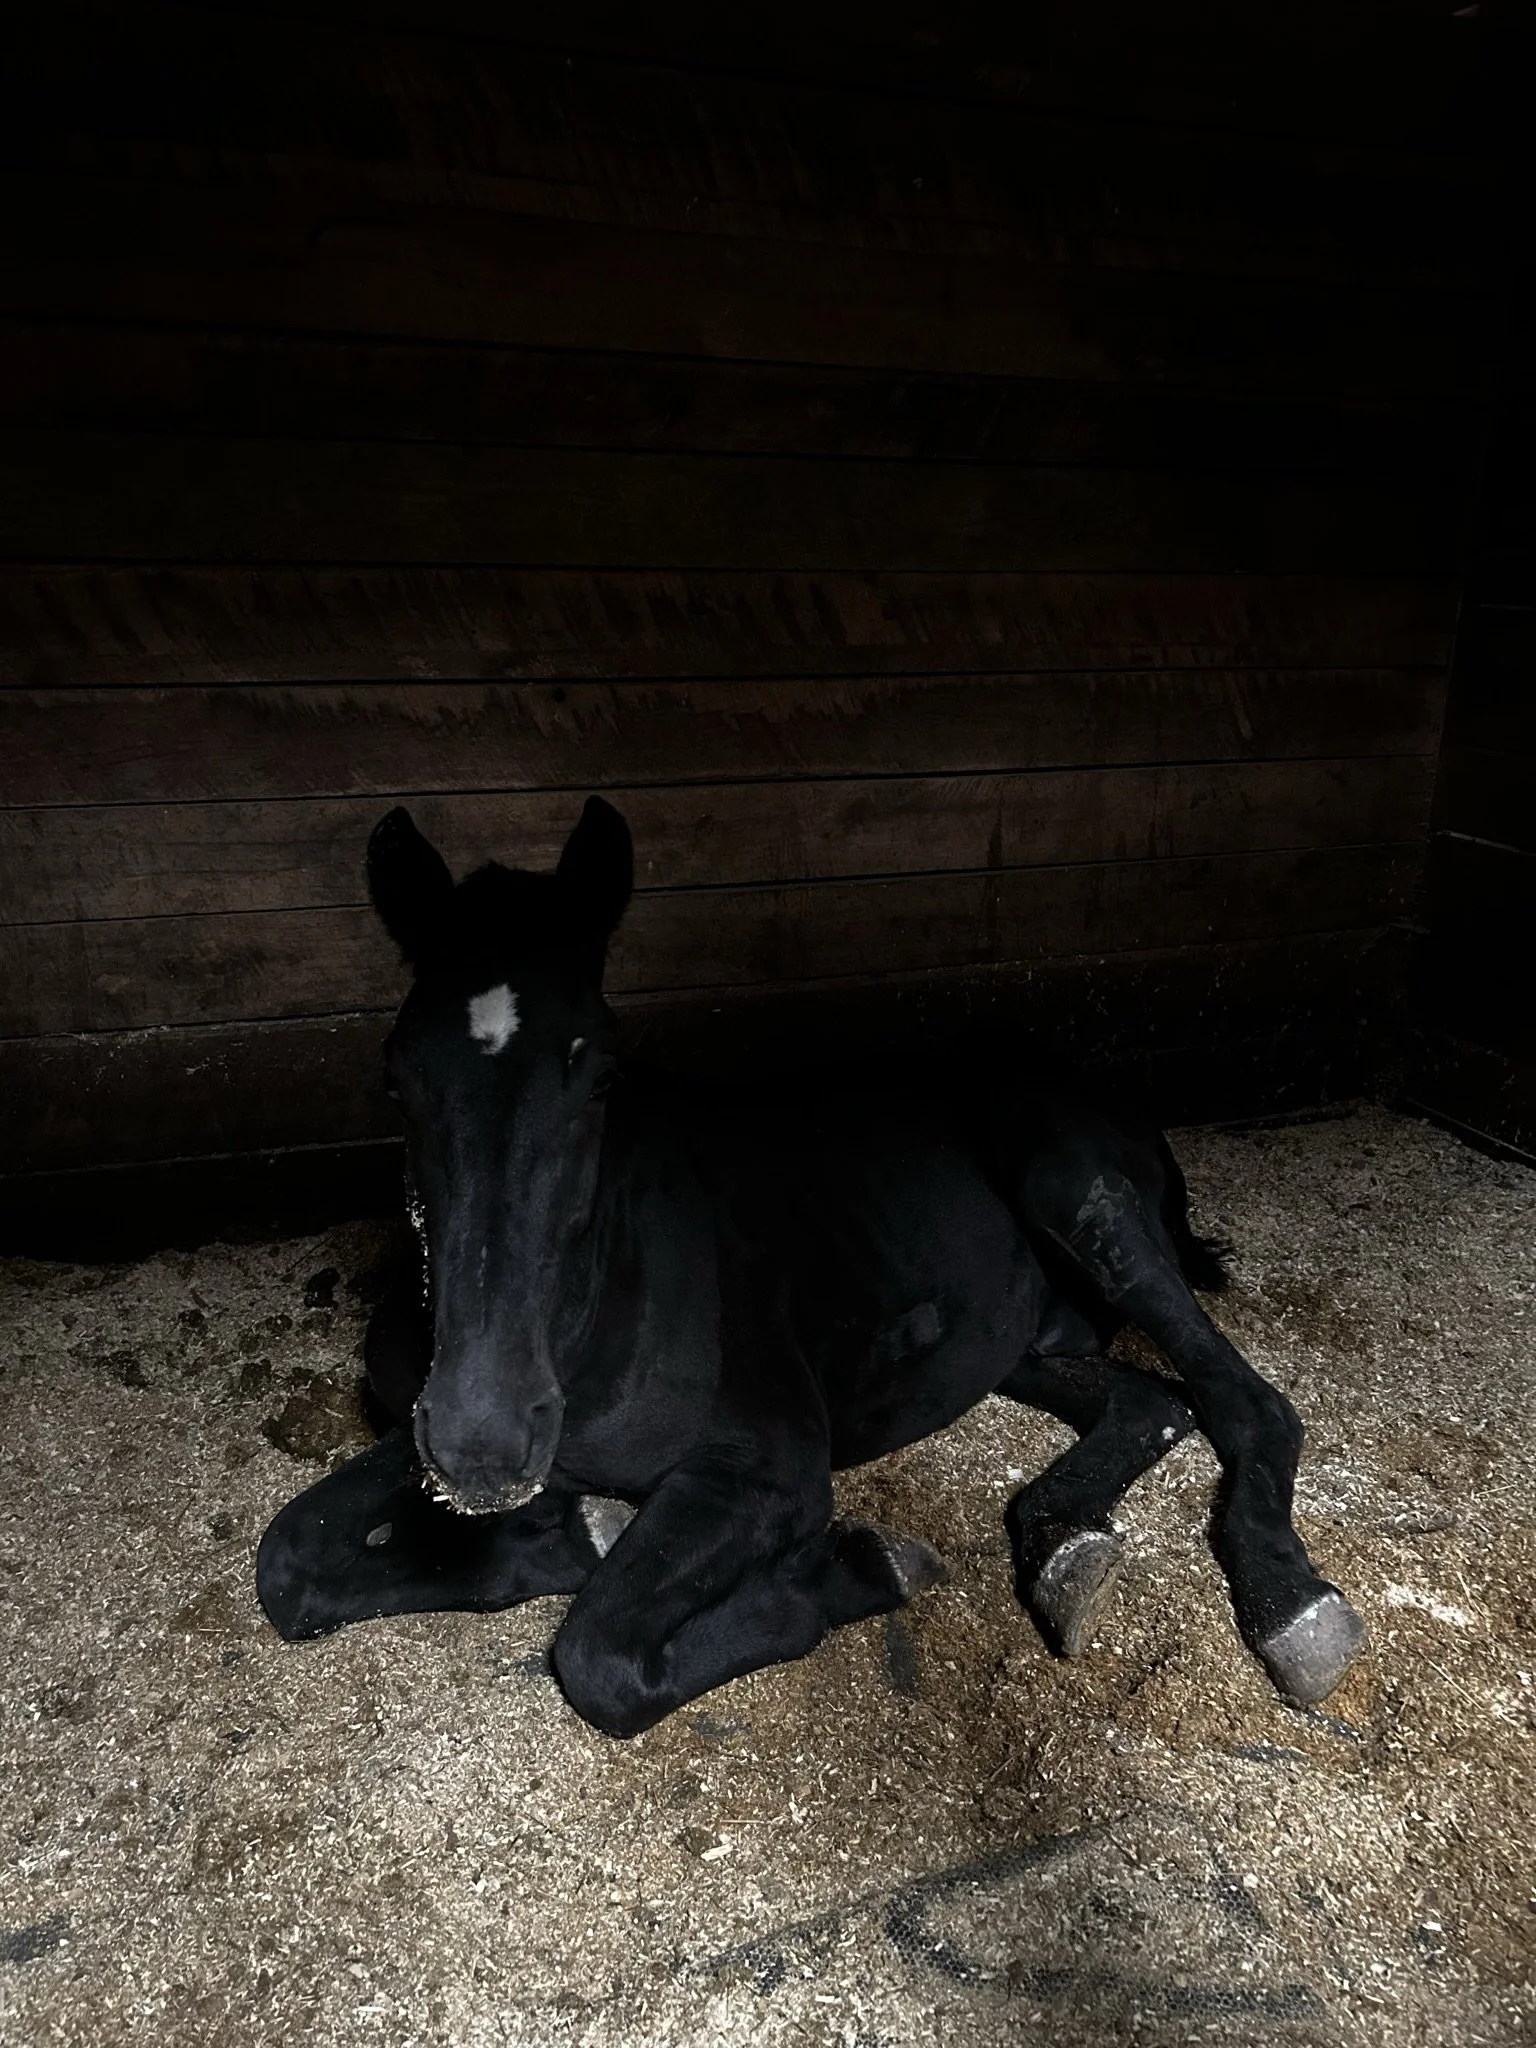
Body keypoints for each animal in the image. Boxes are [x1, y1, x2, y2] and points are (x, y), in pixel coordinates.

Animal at [257, 798, 1365, 1736]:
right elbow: (289, 1560)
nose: (484, 1442)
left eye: (602, 1071)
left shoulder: (770, 1468)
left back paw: (1292, 1608)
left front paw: (856, 1568)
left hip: (1078, 1193)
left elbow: (601, 1656)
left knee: (1246, 1401)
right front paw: (564, 1536)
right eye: (396, 1076)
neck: (591, 1311)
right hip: (1012, 1341)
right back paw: (1065, 1551)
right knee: (1148, 1402)